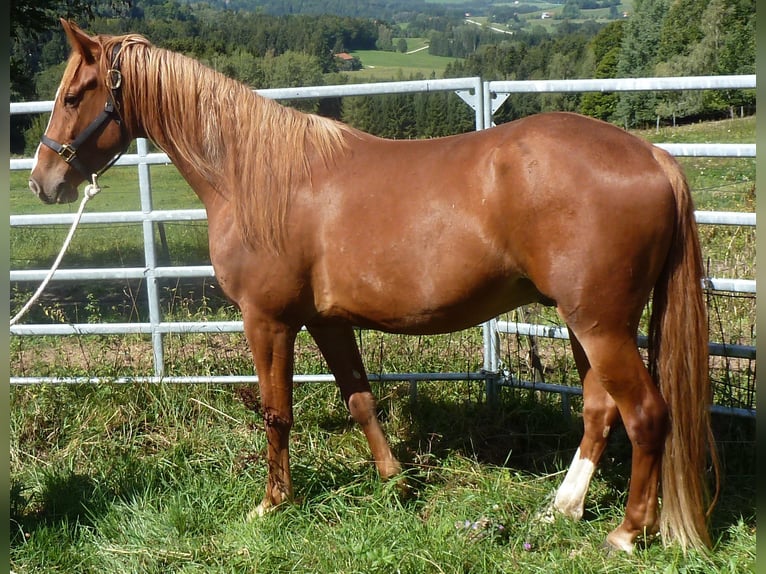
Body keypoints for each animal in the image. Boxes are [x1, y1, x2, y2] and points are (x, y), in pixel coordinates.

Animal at [29, 19, 718, 554]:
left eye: (76, 93)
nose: (43, 182)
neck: (253, 175)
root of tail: (652, 156)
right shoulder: (327, 319)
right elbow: (359, 399)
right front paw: (394, 481)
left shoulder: (267, 319)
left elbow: (277, 412)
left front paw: (272, 503)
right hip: (587, 323)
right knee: (600, 410)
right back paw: (563, 509)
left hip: (601, 325)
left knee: (646, 414)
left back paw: (625, 533)